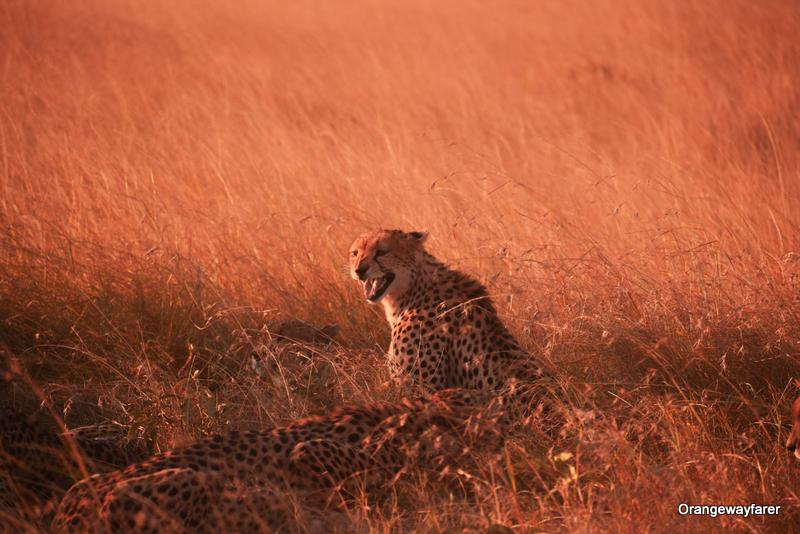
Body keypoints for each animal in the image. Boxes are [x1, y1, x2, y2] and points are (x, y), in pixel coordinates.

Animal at [54, 390, 506, 534]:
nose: (506, 442)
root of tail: (66, 518)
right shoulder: (309, 454)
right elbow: (377, 474)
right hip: (180, 481)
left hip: (83, 483)